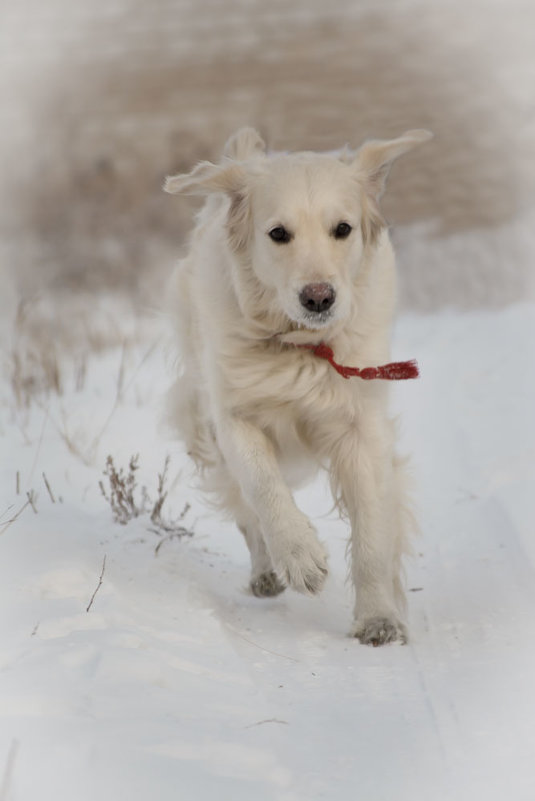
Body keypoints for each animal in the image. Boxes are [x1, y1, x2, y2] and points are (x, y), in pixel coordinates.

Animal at [165, 126, 434, 644]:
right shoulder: (233, 417)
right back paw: (267, 572)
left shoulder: (360, 427)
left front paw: (379, 617)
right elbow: (263, 486)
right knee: (247, 512)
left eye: (343, 229)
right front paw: (300, 556)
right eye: (278, 234)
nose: (318, 298)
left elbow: (373, 532)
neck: (301, 348)